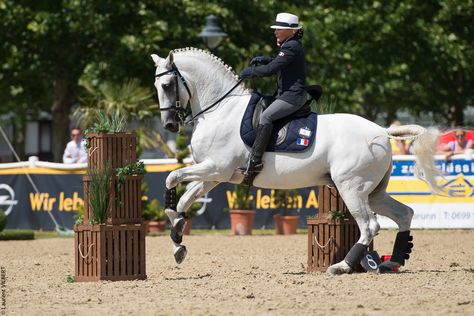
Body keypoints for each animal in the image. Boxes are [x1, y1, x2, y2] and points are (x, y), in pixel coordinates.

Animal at [151, 47, 440, 274]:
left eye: (166, 86)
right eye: (156, 87)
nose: (169, 125)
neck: (220, 110)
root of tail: (381, 131)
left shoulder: (215, 168)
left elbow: (172, 177)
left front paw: (176, 228)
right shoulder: (213, 175)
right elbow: (184, 199)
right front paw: (178, 240)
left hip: (351, 188)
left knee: (370, 225)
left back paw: (341, 266)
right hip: (372, 192)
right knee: (403, 214)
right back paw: (392, 262)